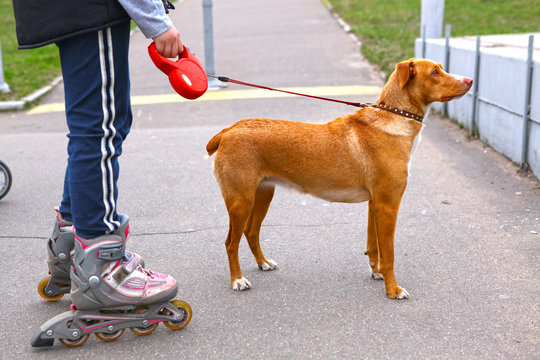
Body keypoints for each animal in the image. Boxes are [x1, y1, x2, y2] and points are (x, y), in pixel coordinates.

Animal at [207, 59, 472, 300]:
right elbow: (389, 253)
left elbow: (373, 245)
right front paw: (393, 290)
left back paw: (263, 263)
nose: (470, 80)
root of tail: (228, 131)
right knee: (230, 242)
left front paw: (377, 272)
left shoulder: (375, 204)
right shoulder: (388, 205)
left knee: (251, 232)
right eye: (435, 72)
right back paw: (238, 280)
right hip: (240, 201)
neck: (394, 121)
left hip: (263, 194)